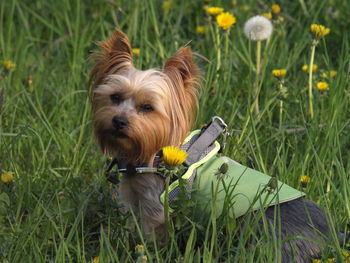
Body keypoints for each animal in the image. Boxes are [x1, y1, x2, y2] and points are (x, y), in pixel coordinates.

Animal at [89, 29, 342, 263]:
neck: (151, 155)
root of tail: (333, 235)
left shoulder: (156, 207)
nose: (119, 121)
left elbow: (149, 235)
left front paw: (141, 250)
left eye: (147, 108)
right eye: (115, 97)